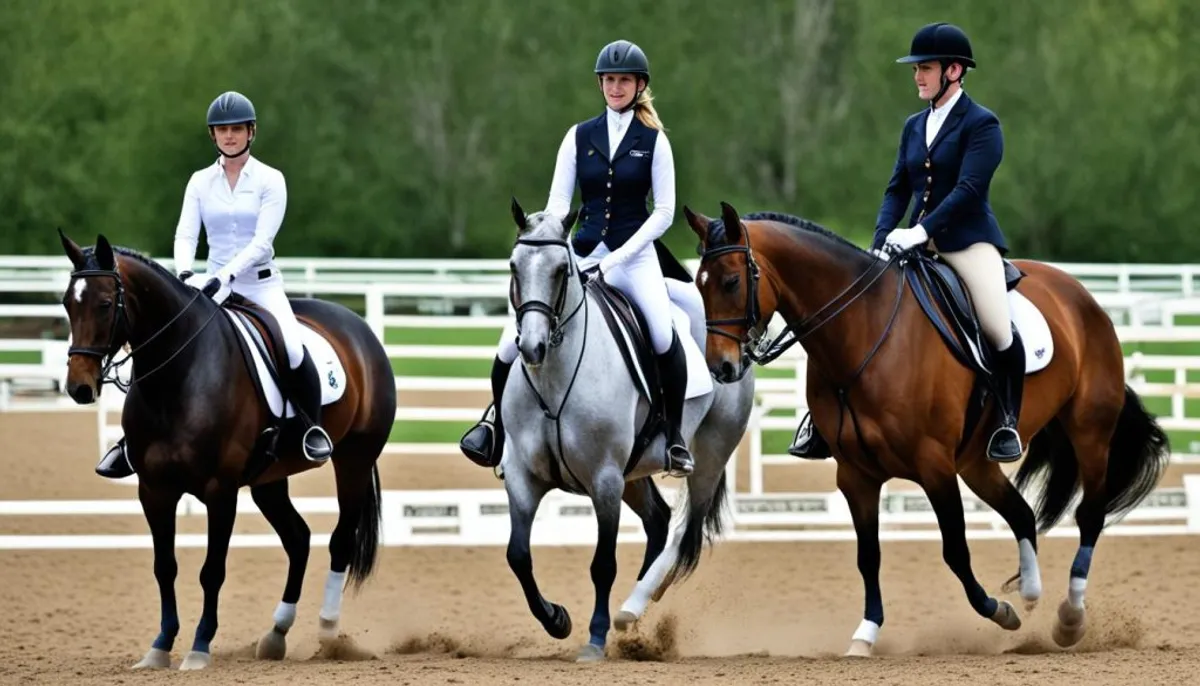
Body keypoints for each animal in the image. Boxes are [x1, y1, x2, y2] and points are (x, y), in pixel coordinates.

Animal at [58, 231, 396, 671]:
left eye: (102, 303)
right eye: (67, 303)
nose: (79, 388)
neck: (178, 375)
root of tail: (358, 326)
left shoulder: (220, 491)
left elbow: (211, 571)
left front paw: (200, 647)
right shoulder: (154, 490)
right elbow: (164, 567)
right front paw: (160, 646)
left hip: (354, 461)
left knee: (339, 540)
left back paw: (328, 631)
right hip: (270, 479)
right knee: (298, 538)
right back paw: (276, 634)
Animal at [501, 201, 753, 662]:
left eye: (562, 269)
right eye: (514, 266)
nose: (531, 348)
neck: (555, 378)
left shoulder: (605, 480)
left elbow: (603, 564)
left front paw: (595, 638)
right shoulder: (522, 477)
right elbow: (519, 556)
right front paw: (556, 619)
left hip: (707, 456)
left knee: (682, 531)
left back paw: (634, 606)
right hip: (633, 474)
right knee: (659, 520)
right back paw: (636, 607)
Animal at [691, 205, 1166, 657]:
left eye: (731, 281)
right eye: (698, 284)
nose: (721, 368)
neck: (861, 332)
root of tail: (1081, 295)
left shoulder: (934, 465)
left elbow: (955, 550)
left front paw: (999, 611)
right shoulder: (856, 476)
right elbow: (868, 556)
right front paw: (865, 635)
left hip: (1090, 430)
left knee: (1090, 515)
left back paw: (1070, 618)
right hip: (977, 463)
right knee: (1021, 513)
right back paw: (1032, 591)